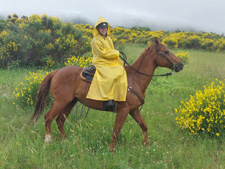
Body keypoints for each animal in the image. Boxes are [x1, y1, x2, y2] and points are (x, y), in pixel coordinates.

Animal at [29, 38, 184, 152]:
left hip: (70, 102)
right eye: (166, 52)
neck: (134, 79)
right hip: (60, 102)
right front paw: (111, 150)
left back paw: (66, 141)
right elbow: (116, 130)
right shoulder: (123, 110)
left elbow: (144, 126)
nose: (181, 65)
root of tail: (57, 72)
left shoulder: (133, 110)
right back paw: (48, 141)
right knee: (48, 117)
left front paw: (146, 146)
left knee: (60, 121)